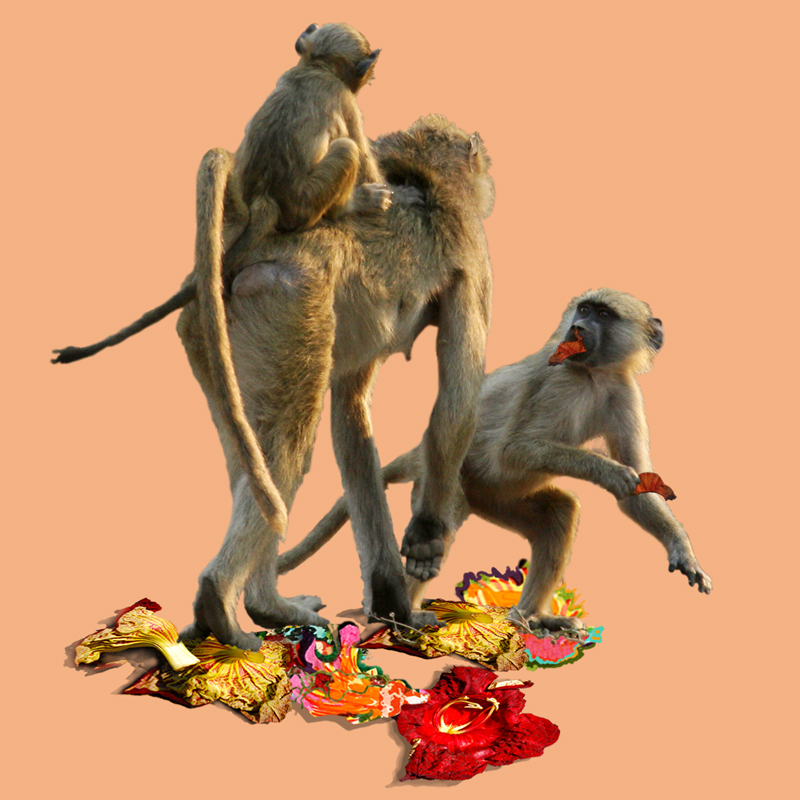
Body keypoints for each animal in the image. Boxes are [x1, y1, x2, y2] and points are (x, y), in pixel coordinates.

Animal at [276, 288, 713, 631]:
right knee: (442, 528)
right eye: (585, 309)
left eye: (602, 314)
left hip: (494, 498)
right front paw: (610, 473)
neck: (593, 374)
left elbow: (639, 492)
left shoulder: (623, 392)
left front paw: (682, 550)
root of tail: (421, 451)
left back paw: (528, 618)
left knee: (559, 514)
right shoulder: (558, 380)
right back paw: (401, 618)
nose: (577, 327)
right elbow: (514, 450)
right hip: (448, 483)